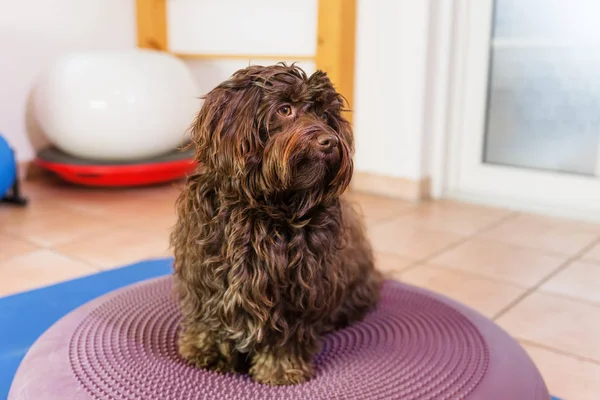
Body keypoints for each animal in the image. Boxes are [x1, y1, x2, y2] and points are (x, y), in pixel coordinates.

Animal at [171, 64, 382, 386]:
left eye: (325, 114)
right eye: (285, 109)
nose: (330, 141)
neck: (264, 207)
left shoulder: (298, 286)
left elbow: (286, 334)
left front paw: (281, 369)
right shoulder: (205, 267)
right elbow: (210, 314)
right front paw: (207, 350)